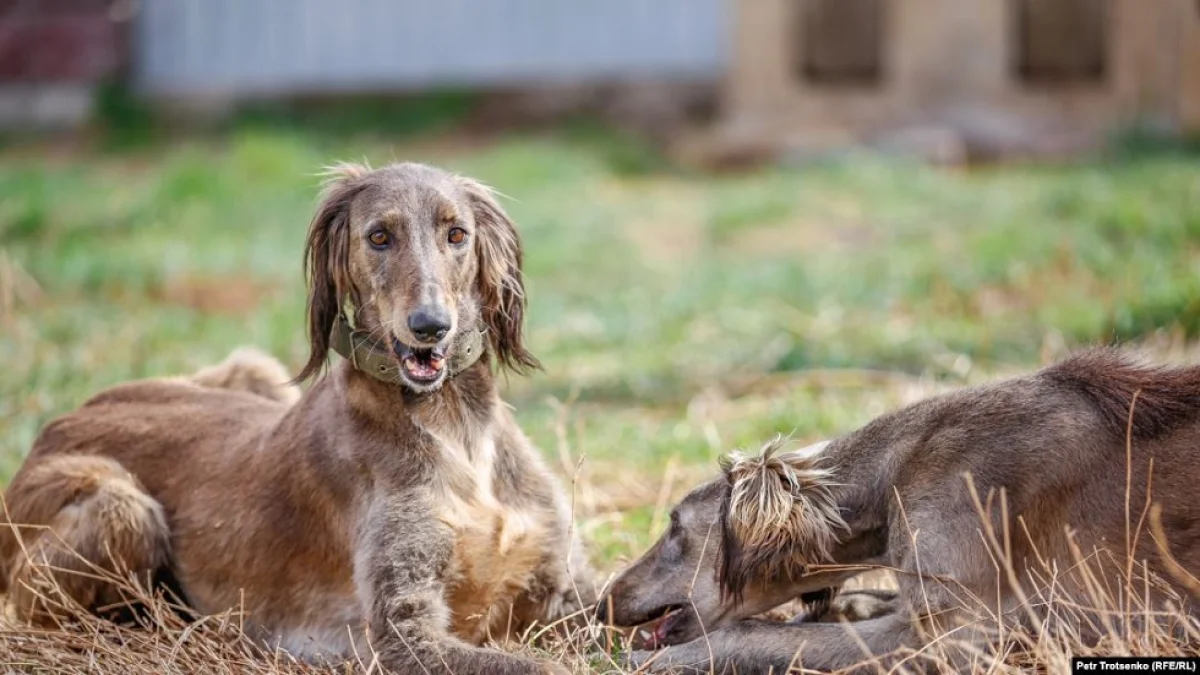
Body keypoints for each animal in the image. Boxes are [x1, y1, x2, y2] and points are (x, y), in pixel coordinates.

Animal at [597, 348, 1200, 667]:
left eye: (675, 527)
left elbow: (759, 634)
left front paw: (657, 661)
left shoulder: (954, 637)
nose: (603, 602)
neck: (897, 469)